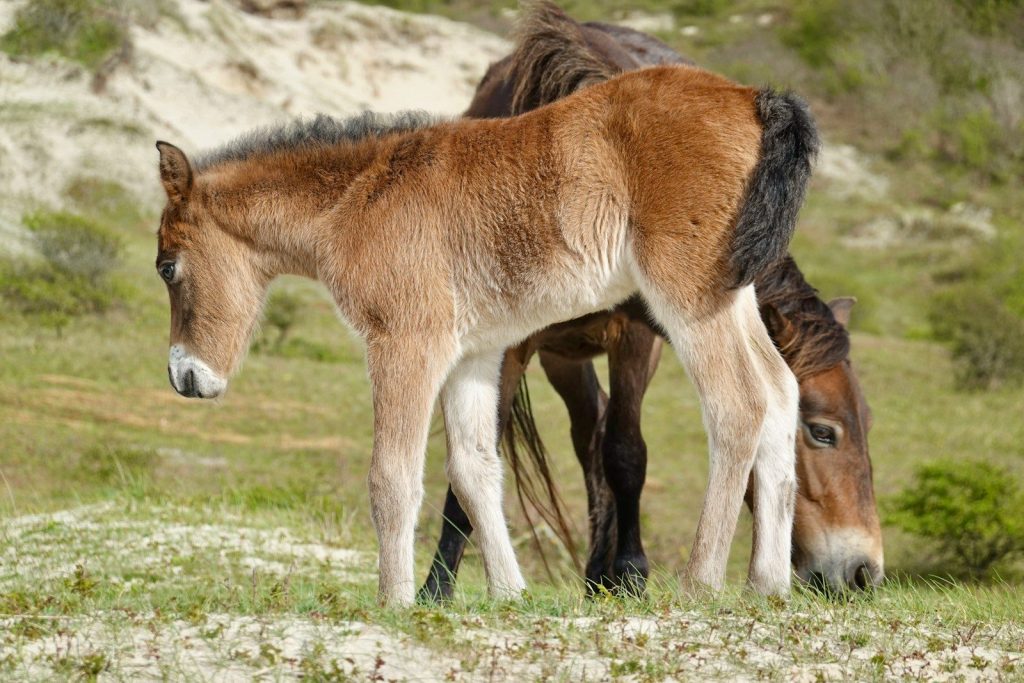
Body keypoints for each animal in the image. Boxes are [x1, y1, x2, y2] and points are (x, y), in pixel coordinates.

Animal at [154, 54, 817, 604]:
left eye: (167, 267)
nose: (184, 376)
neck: (362, 197)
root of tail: (753, 98)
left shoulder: (406, 344)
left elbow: (393, 476)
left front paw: (394, 601)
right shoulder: (473, 355)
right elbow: (475, 471)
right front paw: (509, 592)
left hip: (687, 295)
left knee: (739, 404)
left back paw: (701, 583)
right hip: (734, 293)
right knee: (782, 392)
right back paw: (767, 584)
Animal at [419, 1, 881, 601]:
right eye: (823, 432)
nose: (864, 570)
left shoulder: (636, 336)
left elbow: (626, 452)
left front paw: (630, 572)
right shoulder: (508, 345)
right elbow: (482, 449)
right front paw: (437, 584)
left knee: (601, 440)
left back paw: (603, 574)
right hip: (562, 355)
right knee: (587, 437)